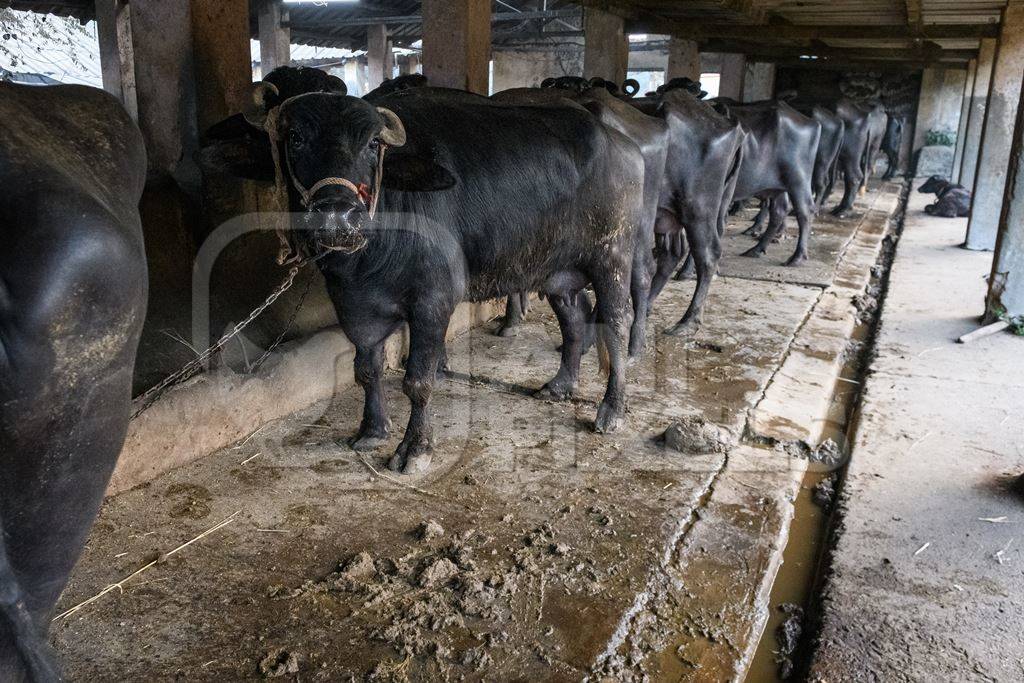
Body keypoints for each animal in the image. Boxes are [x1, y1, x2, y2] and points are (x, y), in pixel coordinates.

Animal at [202, 85, 643, 475]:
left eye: (372, 145)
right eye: (295, 138)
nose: (337, 217)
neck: (365, 265)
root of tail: (622, 144)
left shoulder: (433, 303)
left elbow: (419, 381)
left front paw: (414, 449)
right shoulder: (355, 308)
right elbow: (367, 369)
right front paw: (372, 429)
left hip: (613, 257)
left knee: (616, 324)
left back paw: (611, 410)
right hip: (557, 272)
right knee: (574, 320)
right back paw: (561, 385)